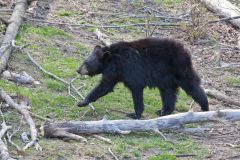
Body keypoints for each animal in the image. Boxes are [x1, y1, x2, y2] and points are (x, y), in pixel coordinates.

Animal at [77, 37, 208, 119]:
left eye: (86, 63)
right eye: (84, 61)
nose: (78, 70)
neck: (113, 60)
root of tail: (185, 51)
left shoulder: (130, 69)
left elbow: (135, 90)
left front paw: (135, 114)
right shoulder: (114, 72)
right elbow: (106, 86)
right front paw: (83, 102)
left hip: (178, 68)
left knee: (191, 86)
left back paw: (205, 107)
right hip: (167, 78)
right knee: (168, 93)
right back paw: (164, 111)